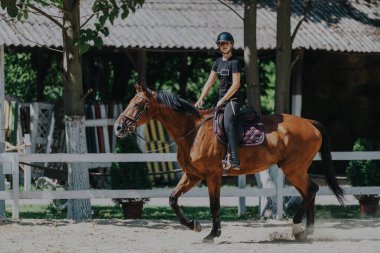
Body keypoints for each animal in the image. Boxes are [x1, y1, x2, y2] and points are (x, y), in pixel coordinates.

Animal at [113, 84, 344, 243]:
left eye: (137, 104)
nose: (118, 128)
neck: (193, 132)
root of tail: (309, 123)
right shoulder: (192, 176)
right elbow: (172, 199)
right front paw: (195, 225)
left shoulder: (212, 176)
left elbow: (214, 205)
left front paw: (212, 234)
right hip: (295, 170)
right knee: (309, 192)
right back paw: (306, 232)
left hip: (293, 169)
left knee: (311, 190)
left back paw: (298, 228)